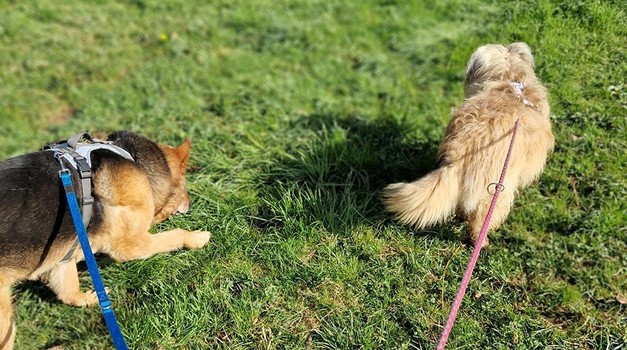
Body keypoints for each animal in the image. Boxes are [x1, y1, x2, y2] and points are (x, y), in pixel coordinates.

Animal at [0, 130, 211, 348]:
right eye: (185, 182)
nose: (190, 204)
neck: (132, 158)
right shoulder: (132, 245)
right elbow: (175, 234)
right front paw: (196, 237)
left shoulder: (65, 256)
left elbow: (68, 293)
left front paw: (91, 299)